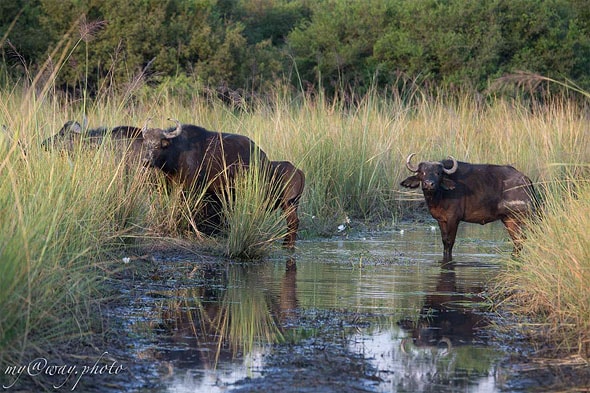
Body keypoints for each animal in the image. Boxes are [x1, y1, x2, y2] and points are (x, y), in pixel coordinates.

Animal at [402, 153, 536, 260]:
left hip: (526, 218)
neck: (440, 195)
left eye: (438, 173)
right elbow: (444, 241)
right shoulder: (441, 220)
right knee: (518, 240)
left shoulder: (453, 219)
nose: (429, 184)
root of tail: (526, 180)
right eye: (422, 172)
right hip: (509, 219)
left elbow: (449, 241)